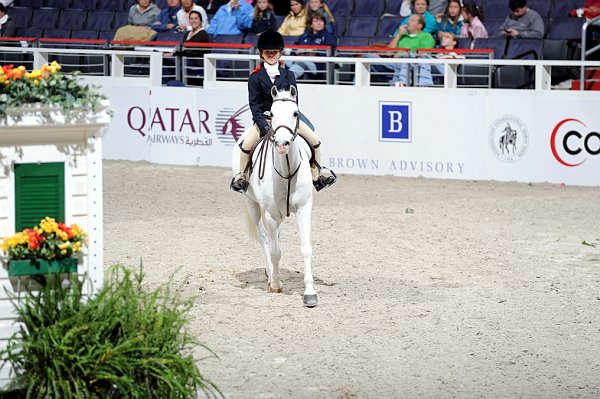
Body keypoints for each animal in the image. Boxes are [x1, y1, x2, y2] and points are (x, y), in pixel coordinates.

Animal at [230, 86, 318, 308]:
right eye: (272, 113)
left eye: (295, 113)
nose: (282, 144)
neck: (287, 170)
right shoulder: (270, 214)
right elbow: (275, 251)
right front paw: (276, 284)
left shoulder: (304, 209)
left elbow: (306, 248)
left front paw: (310, 293)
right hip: (251, 204)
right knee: (264, 239)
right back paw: (270, 275)